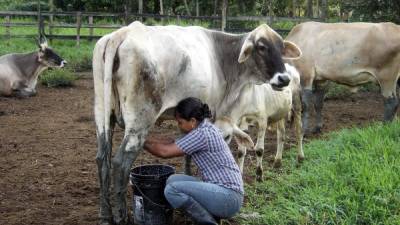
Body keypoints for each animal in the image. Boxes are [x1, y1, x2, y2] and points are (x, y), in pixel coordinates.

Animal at [93, 21, 300, 225]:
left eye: (281, 48)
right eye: (262, 47)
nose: (284, 79)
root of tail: (122, 33)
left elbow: (187, 153)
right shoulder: (216, 116)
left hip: (103, 116)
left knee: (102, 159)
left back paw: (105, 216)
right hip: (139, 121)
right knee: (120, 163)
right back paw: (121, 217)